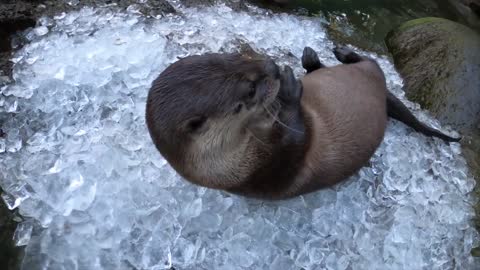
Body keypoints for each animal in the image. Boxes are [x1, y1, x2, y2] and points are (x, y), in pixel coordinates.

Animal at [147, 46, 462, 199]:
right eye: (249, 90)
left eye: (235, 56)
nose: (272, 67)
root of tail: (380, 88)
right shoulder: (281, 164)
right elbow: (298, 134)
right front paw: (288, 90)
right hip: (373, 73)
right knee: (369, 62)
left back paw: (321, 56)